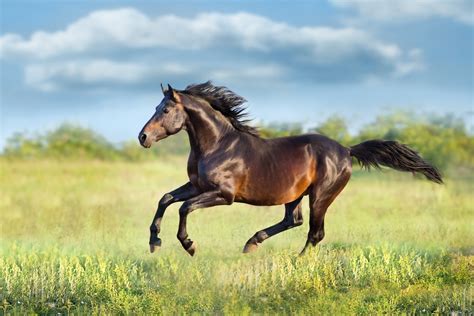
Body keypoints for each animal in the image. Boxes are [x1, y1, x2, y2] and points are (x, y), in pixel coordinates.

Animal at [139, 80, 442, 256]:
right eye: (155, 106)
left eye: (165, 110)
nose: (143, 137)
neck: (218, 145)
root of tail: (346, 150)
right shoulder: (197, 185)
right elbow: (165, 199)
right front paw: (154, 242)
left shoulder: (224, 195)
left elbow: (183, 208)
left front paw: (189, 245)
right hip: (294, 195)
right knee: (292, 220)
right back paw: (252, 243)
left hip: (320, 196)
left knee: (314, 232)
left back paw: (297, 261)